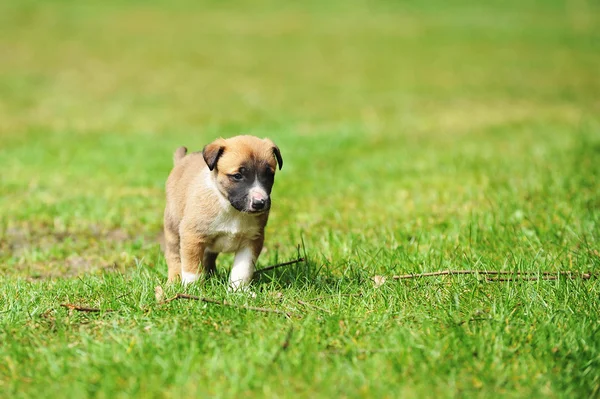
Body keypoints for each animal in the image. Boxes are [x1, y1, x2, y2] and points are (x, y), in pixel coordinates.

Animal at [162, 135, 284, 290]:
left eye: (269, 174)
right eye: (237, 176)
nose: (259, 203)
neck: (232, 209)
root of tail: (181, 160)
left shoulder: (252, 240)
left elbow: (242, 270)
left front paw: (239, 290)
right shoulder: (192, 236)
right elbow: (192, 268)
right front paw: (193, 289)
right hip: (172, 228)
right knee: (174, 257)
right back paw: (174, 281)